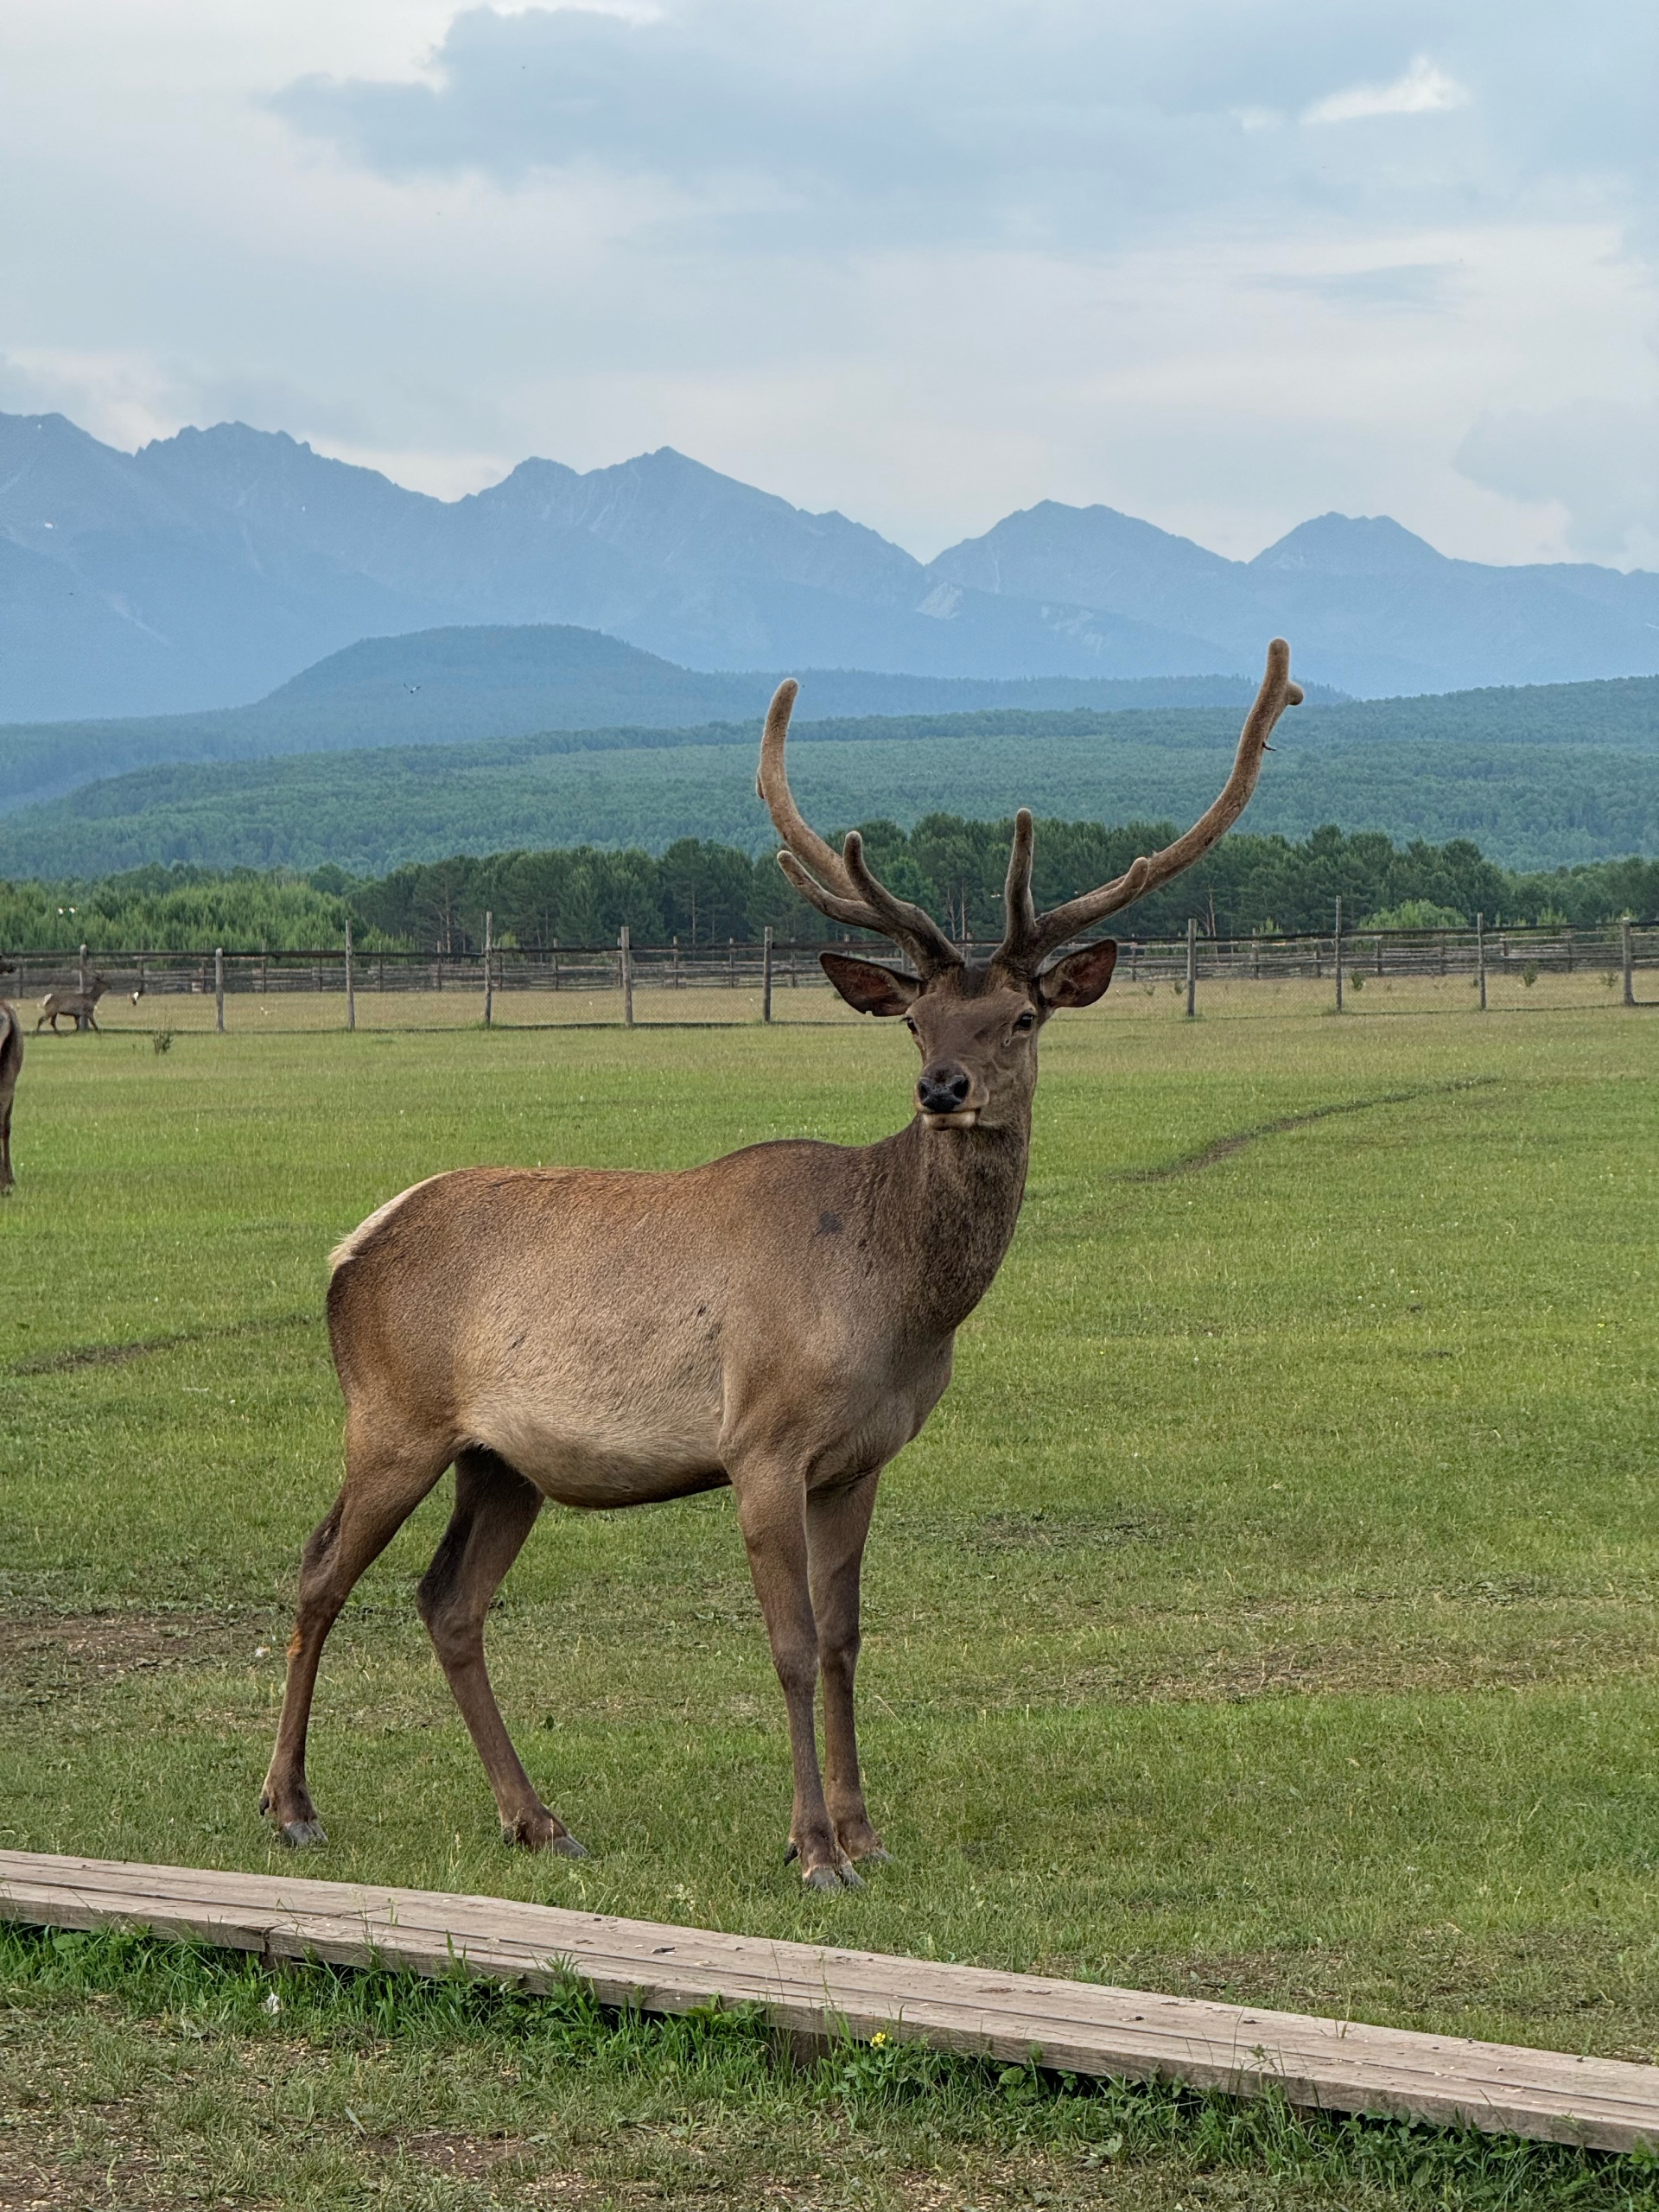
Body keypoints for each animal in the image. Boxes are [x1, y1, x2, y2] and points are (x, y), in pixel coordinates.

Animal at [263, 645, 1300, 1885]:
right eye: (915, 1022)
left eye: (1021, 1017)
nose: (941, 1089)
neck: (898, 1305)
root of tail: (350, 1248)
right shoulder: (759, 1443)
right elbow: (793, 1644)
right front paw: (812, 1848)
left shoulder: (862, 1459)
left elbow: (848, 1638)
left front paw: (868, 1831)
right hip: (393, 1415)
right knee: (320, 1569)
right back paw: (290, 1804)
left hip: (499, 1458)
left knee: (448, 1600)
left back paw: (537, 1817)